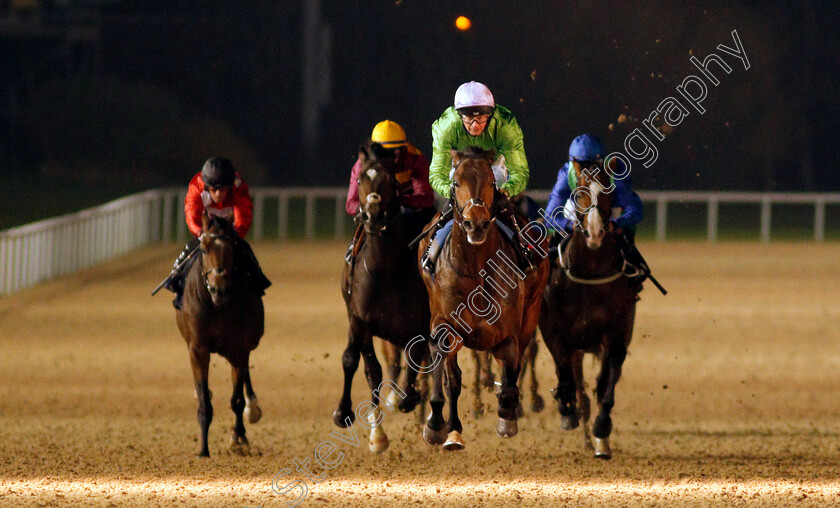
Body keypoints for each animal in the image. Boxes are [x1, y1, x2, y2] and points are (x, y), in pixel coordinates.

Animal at [172, 214, 260, 456]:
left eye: (233, 247)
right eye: (204, 248)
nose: (218, 289)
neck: (218, 306)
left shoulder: (239, 347)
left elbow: (237, 400)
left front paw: (238, 439)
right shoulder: (198, 348)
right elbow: (204, 401)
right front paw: (203, 449)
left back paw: (253, 408)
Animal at [334, 139, 430, 452]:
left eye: (391, 180)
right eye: (360, 179)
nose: (373, 216)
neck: (385, 271)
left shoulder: (420, 325)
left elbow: (416, 361)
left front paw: (410, 399)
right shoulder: (360, 321)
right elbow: (364, 367)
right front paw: (373, 433)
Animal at [420, 146, 552, 448]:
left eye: (493, 183)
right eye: (456, 183)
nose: (476, 223)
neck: (476, 269)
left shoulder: (509, 329)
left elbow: (511, 367)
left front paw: (508, 415)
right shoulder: (447, 322)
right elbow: (451, 376)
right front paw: (445, 428)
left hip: (532, 309)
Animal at [540, 159, 640, 460]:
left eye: (609, 192)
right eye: (579, 193)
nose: (595, 232)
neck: (590, 275)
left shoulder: (616, 332)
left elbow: (606, 384)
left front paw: (602, 429)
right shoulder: (555, 334)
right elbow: (566, 379)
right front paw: (566, 409)